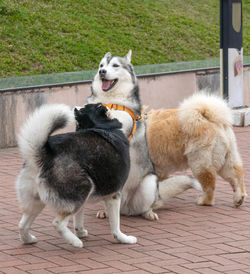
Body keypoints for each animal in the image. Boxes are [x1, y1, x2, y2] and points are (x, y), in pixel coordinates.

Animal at [15, 103, 137, 248]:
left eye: (85, 108)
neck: (103, 127)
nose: (74, 108)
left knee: (22, 224)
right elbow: (115, 226)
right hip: (83, 189)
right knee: (57, 223)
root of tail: (45, 156)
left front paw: (80, 232)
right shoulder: (113, 195)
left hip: (37, 201)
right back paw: (75, 242)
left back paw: (29, 239)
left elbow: (78, 219)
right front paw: (123, 239)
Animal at [86, 50, 201, 220]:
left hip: (149, 183)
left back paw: (149, 213)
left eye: (115, 65)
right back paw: (105, 211)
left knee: (144, 207)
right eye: (101, 65)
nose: (102, 72)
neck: (110, 101)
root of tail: (124, 207)